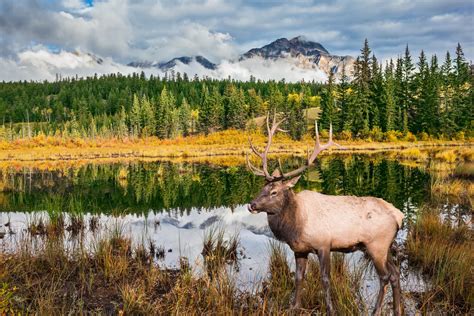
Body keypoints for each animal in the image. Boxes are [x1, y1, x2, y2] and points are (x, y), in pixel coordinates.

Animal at [246, 113, 406, 316]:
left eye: (274, 192)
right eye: (263, 188)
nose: (252, 205)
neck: (295, 225)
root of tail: (399, 216)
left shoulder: (324, 244)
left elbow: (325, 279)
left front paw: (330, 309)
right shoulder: (300, 249)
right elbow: (299, 277)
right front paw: (294, 306)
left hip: (376, 245)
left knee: (385, 276)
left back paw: (376, 311)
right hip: (386, 246)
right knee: (395, 273)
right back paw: (398, 309)